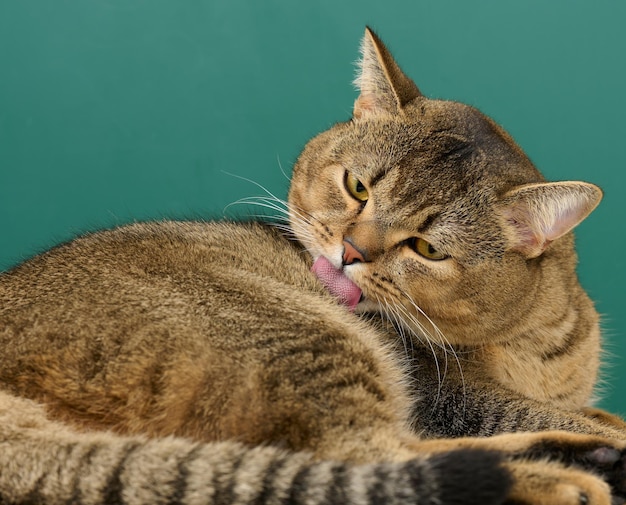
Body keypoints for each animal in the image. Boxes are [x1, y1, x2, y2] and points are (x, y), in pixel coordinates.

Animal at [1, 26, 624, 504]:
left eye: (427, 249)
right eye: (357, 187)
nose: (351, 252)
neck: (539, 334)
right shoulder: (448, 393)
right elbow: (540, 413)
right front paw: (590, 435)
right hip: (298, 333)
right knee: (371, 457)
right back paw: (566, 473)